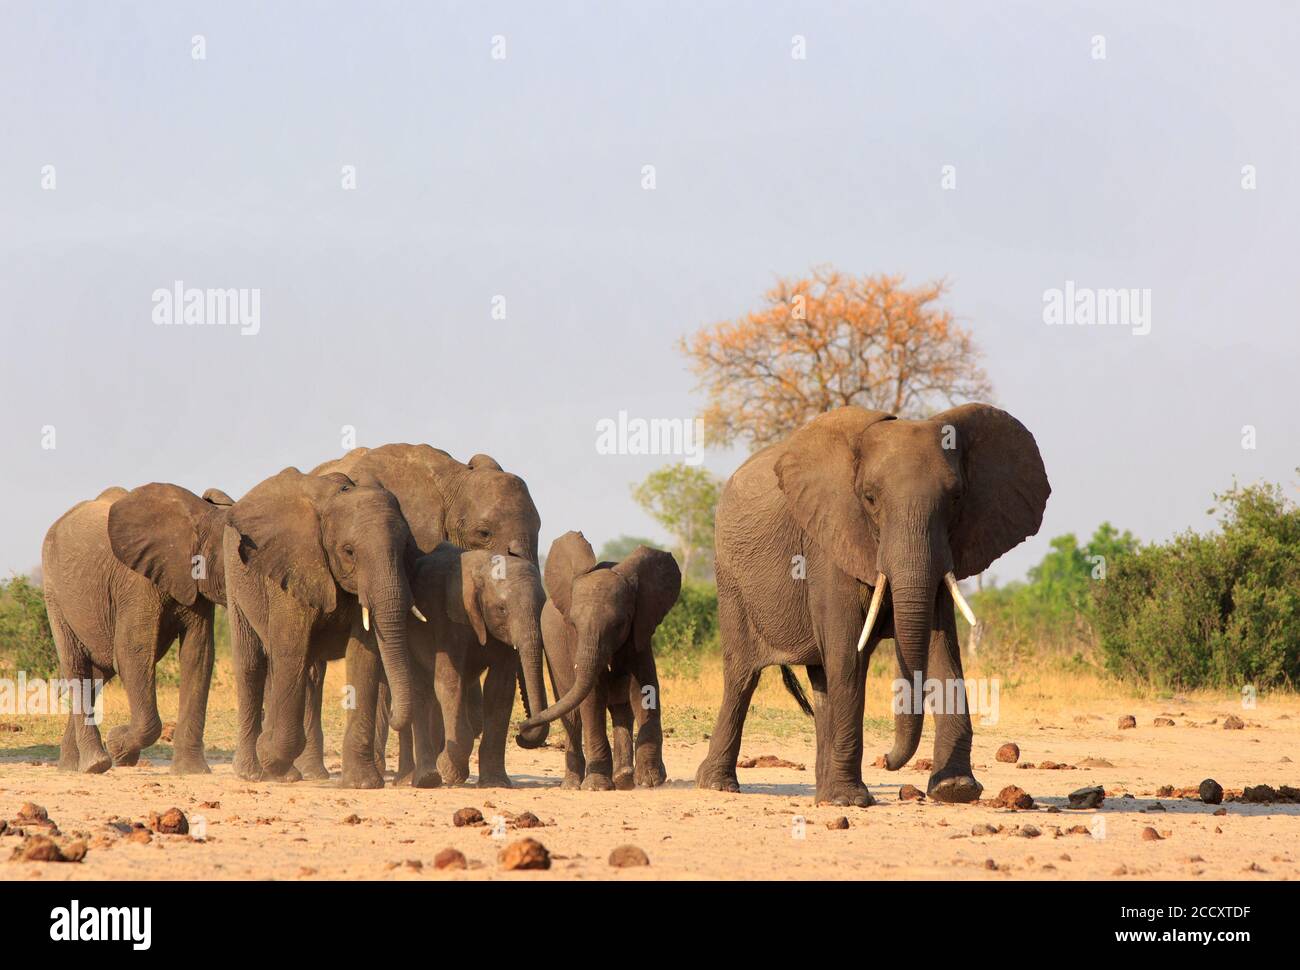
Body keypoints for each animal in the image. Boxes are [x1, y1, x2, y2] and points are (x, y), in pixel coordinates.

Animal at [42, 481, 236, 769]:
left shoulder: (195, 588)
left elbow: (198, 655)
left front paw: (193, 771)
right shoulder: (136, 582)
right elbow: (132, 653)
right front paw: (117, 747)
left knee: (98, 674)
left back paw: (72, 767)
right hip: (54, 593)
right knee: (76, 665)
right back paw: (95, 764)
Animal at [223, 465, 416, 780]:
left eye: (406, 548)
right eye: (349, 551)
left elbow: (364, 656)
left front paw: (363, 783)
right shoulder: (291, 567)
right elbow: (290, 651)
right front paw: (268, 752)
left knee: (309, 672)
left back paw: (295, 773)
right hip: (235, 580)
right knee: (253, 665)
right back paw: (253, 772)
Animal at [517, 527, 681, 785]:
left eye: (620, 624)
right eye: (573, 624)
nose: (518, 729)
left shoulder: (640, 629)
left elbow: (645, 690)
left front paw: (650, 781)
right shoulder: (575, 641)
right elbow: (592, 697)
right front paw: (596, 786)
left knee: (621, 709)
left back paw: (624, 777)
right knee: (573, 715)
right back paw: (574, 785)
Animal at [696, 400, 1050, 800]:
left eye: (957, 498)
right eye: (869, 498)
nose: (887, 760)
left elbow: (942, 647)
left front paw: (954, 789)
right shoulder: (828, 538)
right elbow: (849, 651)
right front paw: (850, 800)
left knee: (821, 680)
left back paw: (822, 790)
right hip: (730, 578)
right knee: (743, 676)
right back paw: (719, 785)